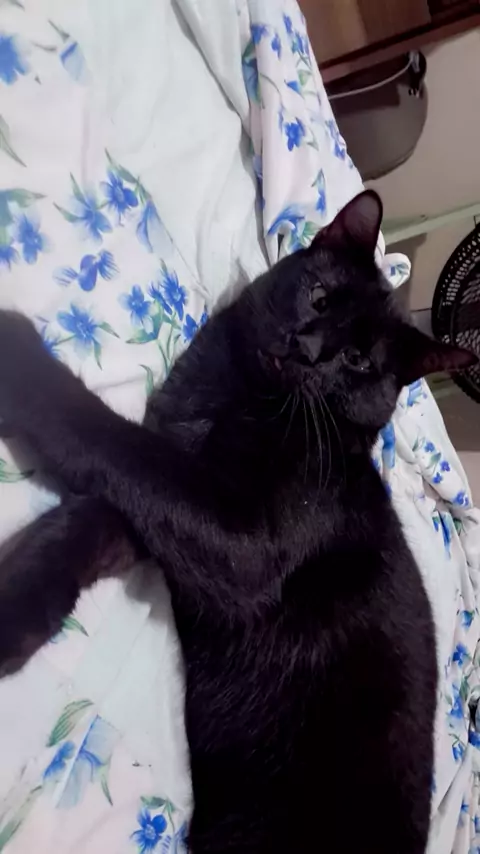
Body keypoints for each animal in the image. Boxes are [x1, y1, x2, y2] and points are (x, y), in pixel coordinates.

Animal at [0, 190, 475, 854]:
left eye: (357, 359)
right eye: (319, 296)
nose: (307, 346)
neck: (242, 394)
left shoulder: (239, 545)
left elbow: (108, 441)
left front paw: (16, 356)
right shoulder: (168, 508)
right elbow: (96, 506)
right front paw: (16, 609)